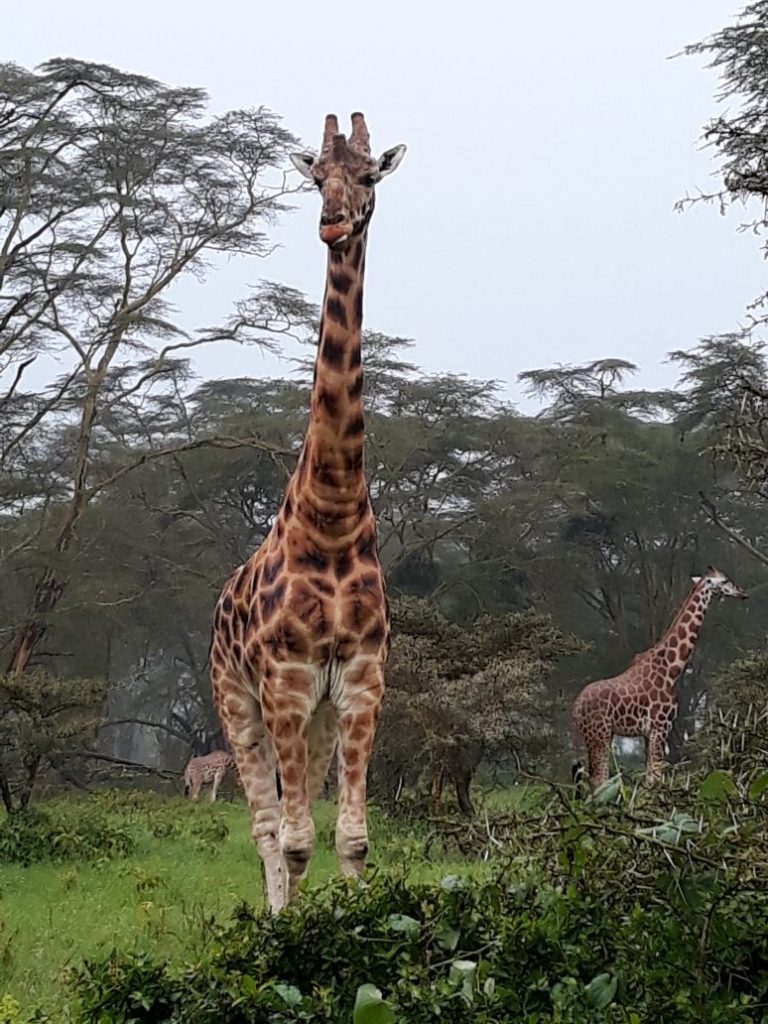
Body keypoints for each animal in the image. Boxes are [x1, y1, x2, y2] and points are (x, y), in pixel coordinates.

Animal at [573, 565, 749, 786]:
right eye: (725, 581)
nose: (743, 593)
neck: (671, 669)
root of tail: (576, 709)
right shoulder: (660, 726)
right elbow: (654, 778)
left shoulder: (648, 733)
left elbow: (650, 777)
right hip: (600, 735)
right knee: (599, 781)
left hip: (597, 737)